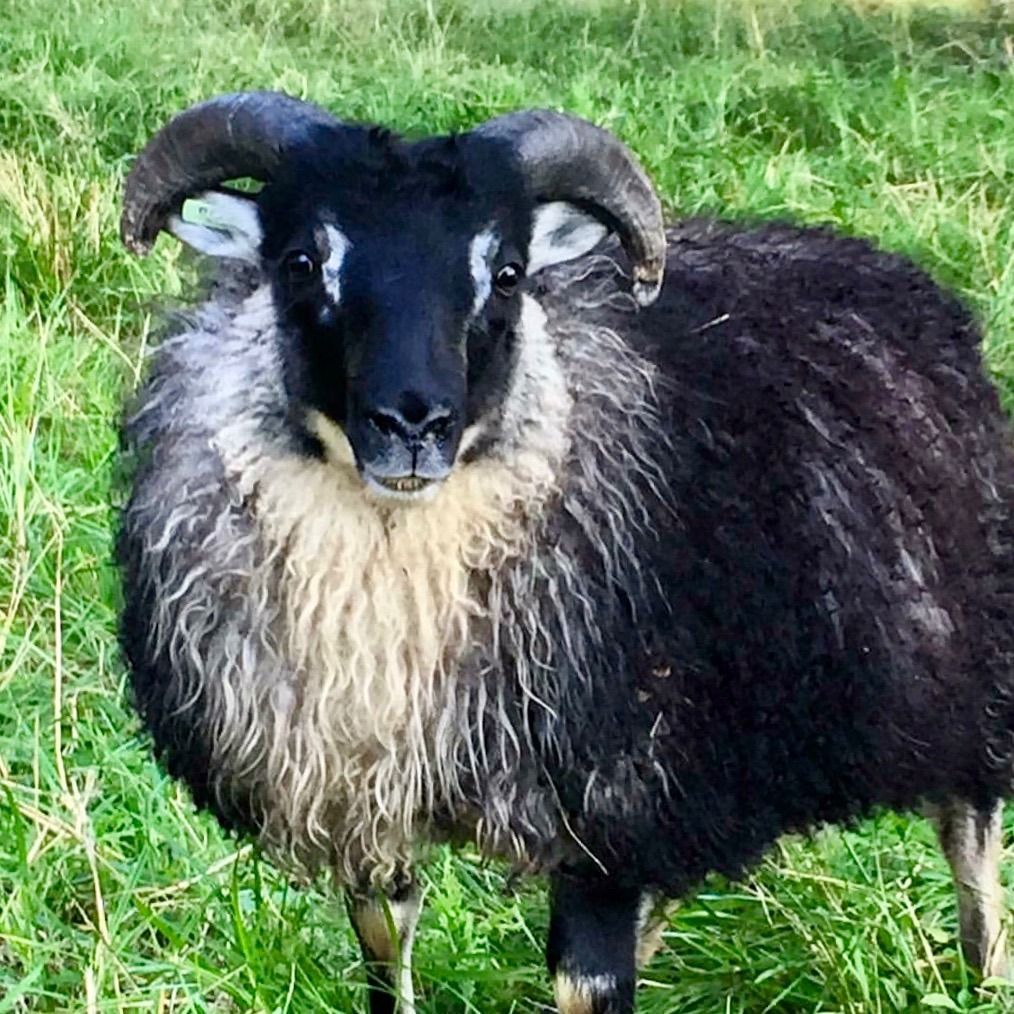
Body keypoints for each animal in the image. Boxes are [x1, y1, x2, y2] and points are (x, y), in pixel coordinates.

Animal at [117, 91, 1014, 1014]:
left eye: (507, 273)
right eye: (300, 261)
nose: (413, 423)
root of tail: (886, 263)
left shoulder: (615, 802)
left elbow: (587, 981)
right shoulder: (366, 800)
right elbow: (384, 946)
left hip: (959, 664)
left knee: (971, 828)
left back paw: (985, 975)